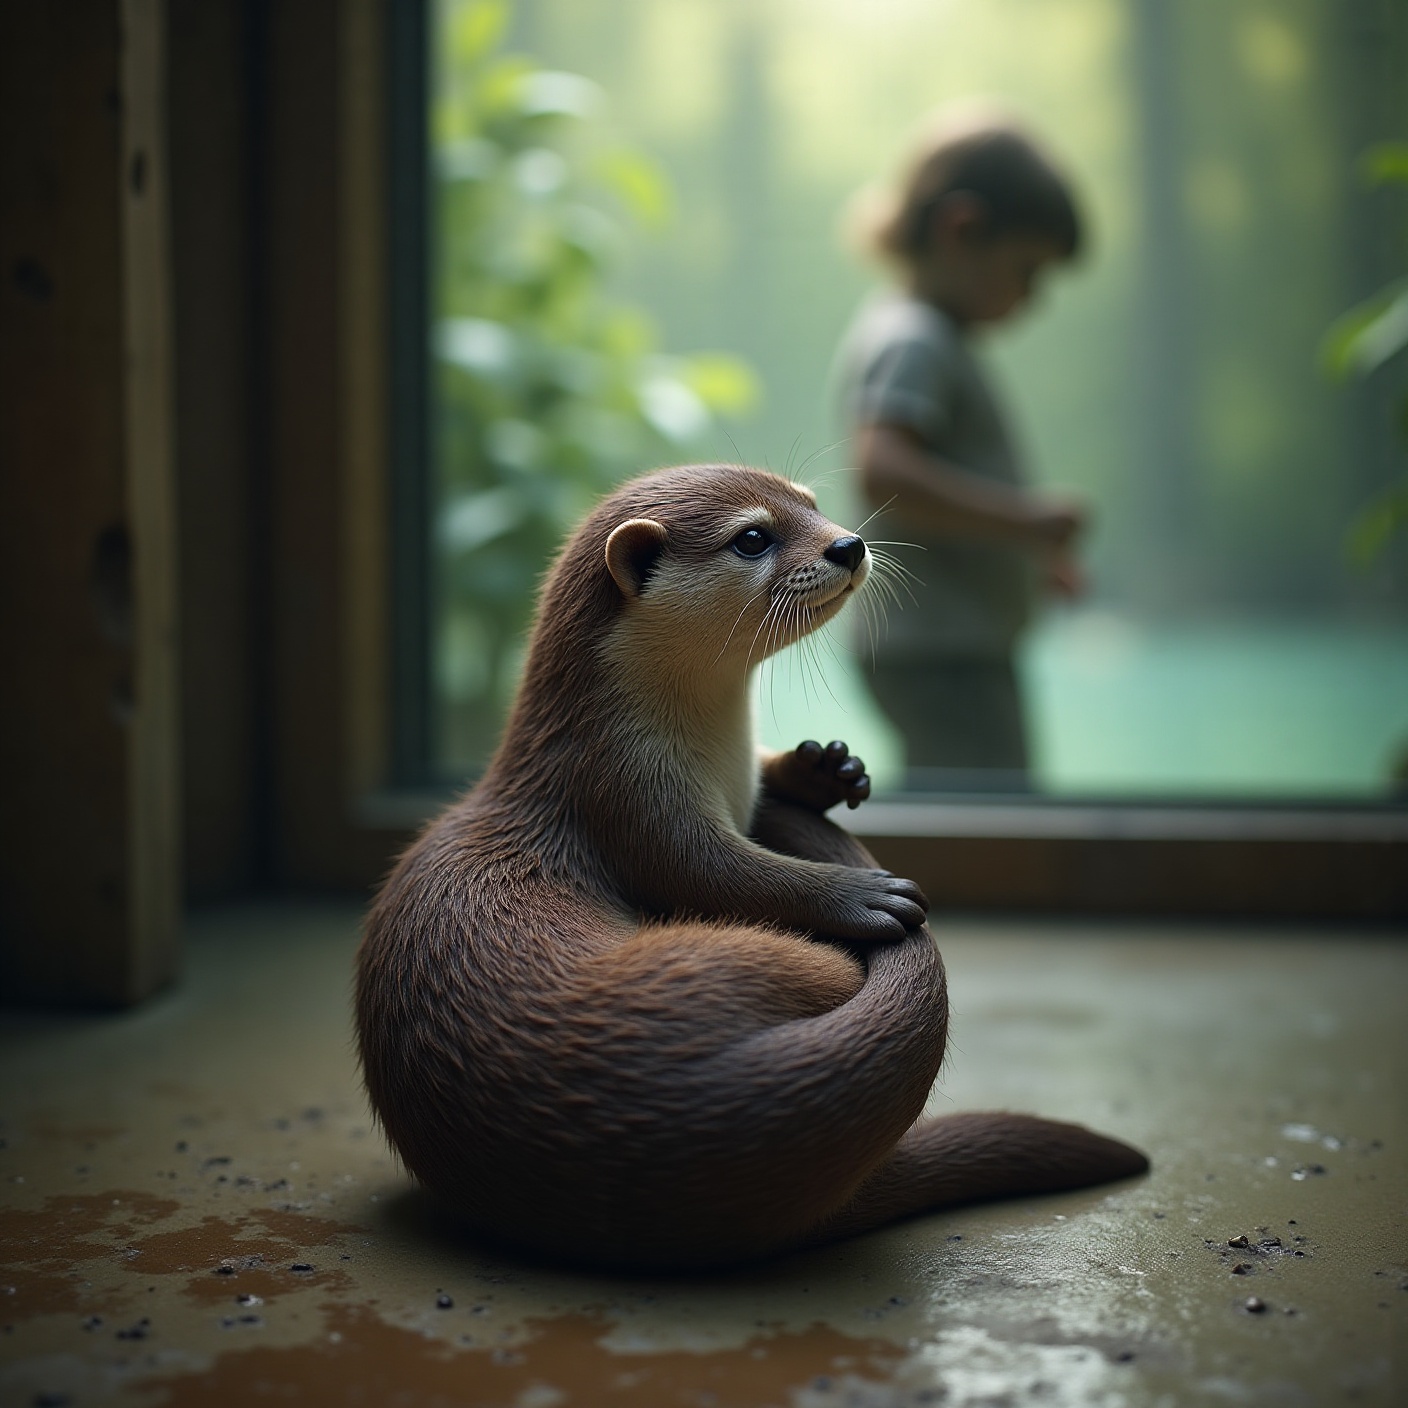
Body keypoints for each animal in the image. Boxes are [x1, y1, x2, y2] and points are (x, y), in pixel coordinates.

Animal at [355, 463, 1147, 1270]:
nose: (849, 544)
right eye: (754, 537)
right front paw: (862, 894)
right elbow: (712, 870)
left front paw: (823, 766)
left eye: (814, 503)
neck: (714, 751)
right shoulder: (626, 789)